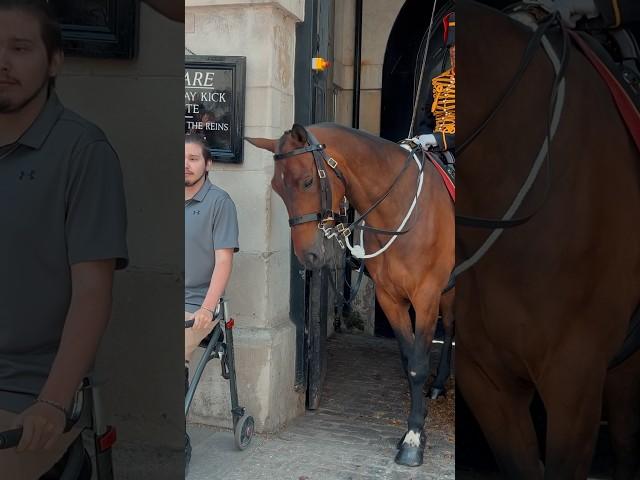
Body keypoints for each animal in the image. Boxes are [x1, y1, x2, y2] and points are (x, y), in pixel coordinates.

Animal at [244, 124, 450, 464]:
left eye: (307, 180)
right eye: (276, 187)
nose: (309, 255)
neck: (400, 210)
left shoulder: (426, 298)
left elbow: (418, 365)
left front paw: (413, 440)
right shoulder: (390, 298)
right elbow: (409, 361)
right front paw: (414, 429)